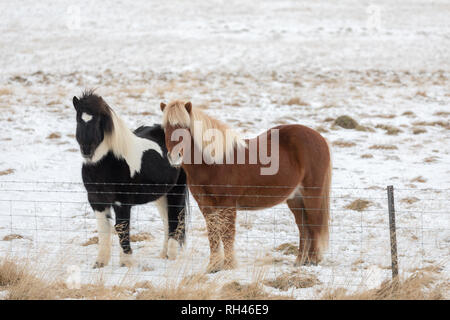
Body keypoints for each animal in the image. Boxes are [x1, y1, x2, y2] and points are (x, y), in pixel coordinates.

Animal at [73, 90, 189, 268]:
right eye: (79, 119)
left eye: (98, 120)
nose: (87, 150)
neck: (107, 161)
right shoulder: (96, 201)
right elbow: (103, 229)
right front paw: (100, 263)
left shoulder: (122, 202)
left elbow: (121, 227)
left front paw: (126, 262)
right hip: (162, 195)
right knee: (167, 221)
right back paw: (164, 254)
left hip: (176, 191)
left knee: (175, 220)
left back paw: (172, 256)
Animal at [161, 100, 330, 272]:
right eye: (165, 128)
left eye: (185, 127)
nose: (174, 157)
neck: (214, 163)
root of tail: (319, 138)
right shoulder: (206, 206)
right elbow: (213, 234)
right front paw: (213, 266)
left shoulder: (227, 205)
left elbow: (227, 234)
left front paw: (229, 266)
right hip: (295, 199)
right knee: (304, 228)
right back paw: (300, 261)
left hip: (311, 196)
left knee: (314, 224)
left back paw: (312, 261)